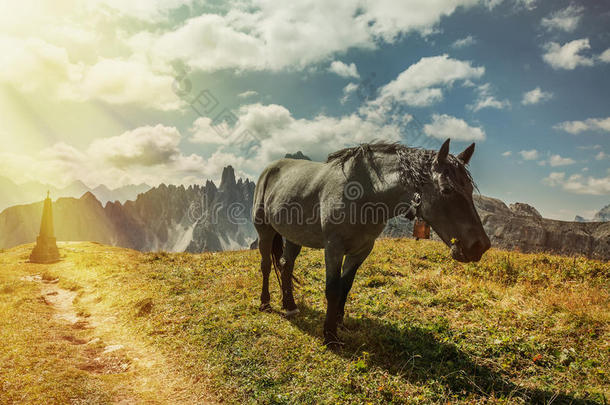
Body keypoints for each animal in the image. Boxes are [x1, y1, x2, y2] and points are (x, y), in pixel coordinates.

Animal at [252, 138, 490, 344]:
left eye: (469, 189)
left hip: (294, 237)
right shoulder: (333, 248)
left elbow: (345, 286)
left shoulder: (361, 250)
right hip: (265, 231)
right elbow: (333, 289)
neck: (365, 193)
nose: (480, 246)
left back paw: (289, 305)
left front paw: (338, 322)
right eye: (447, 189)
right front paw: (330, 335)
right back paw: (265, 303)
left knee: (286, 266)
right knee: (266, 265)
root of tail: (269, 169)